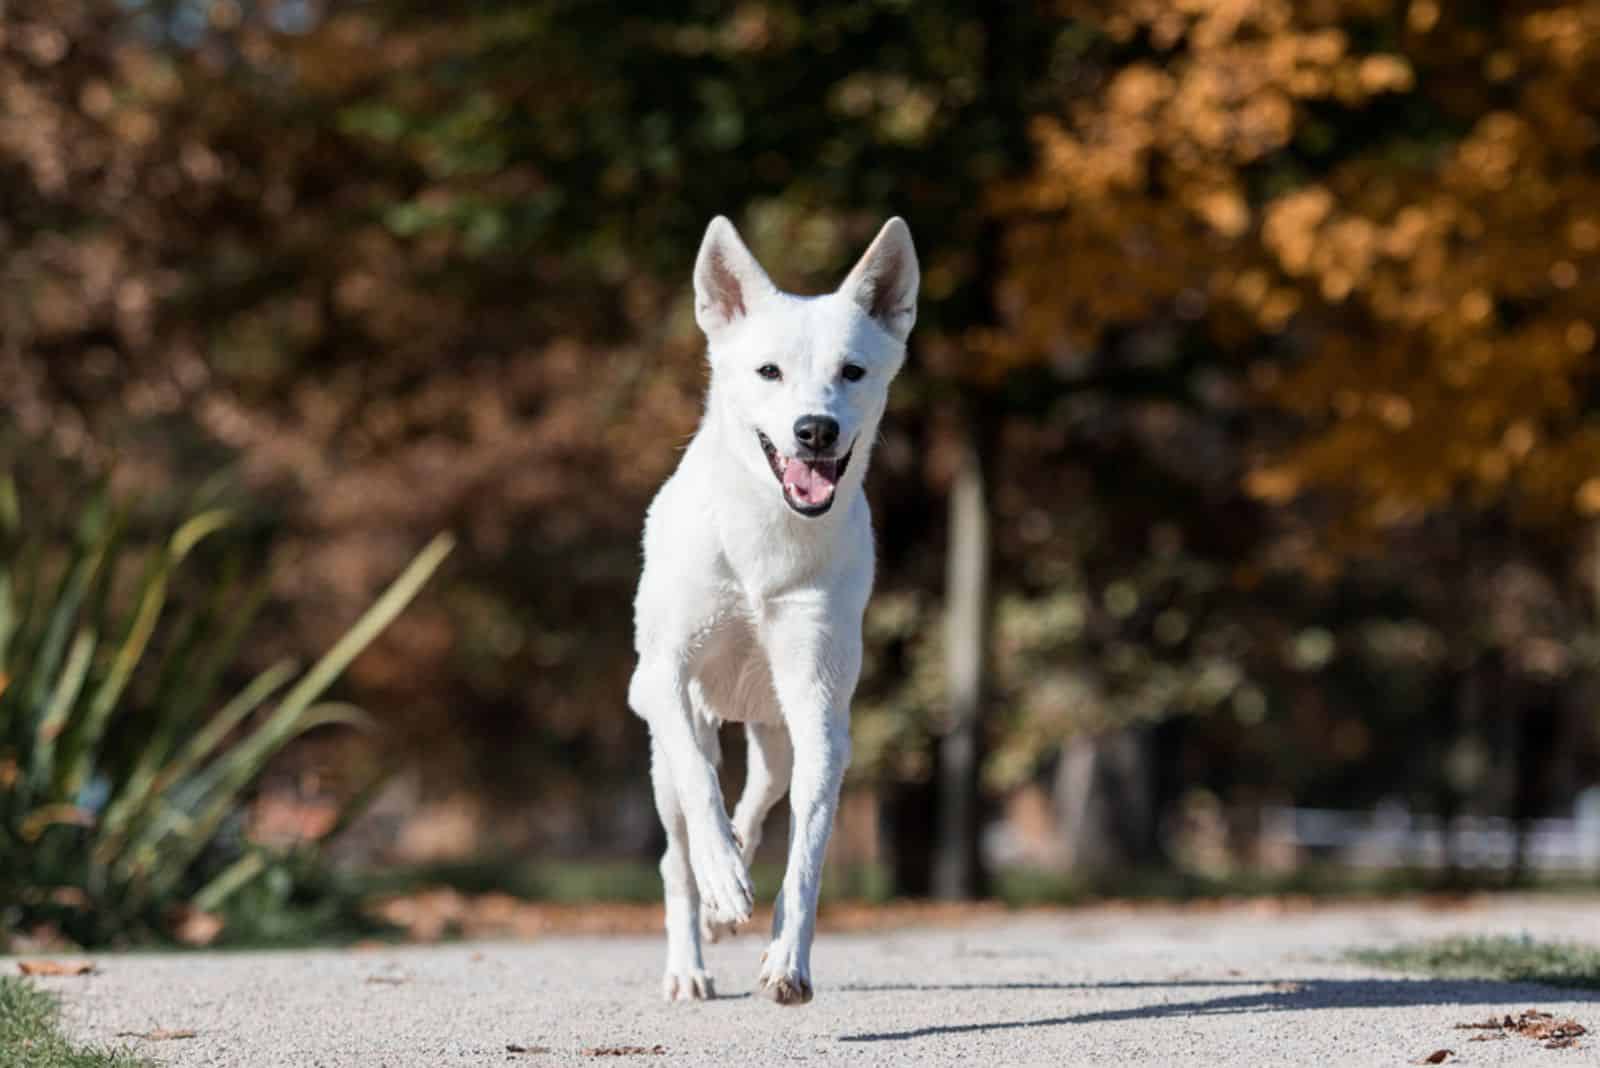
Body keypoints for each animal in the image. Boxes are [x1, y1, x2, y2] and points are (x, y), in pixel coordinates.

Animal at [630, 214, 921, 1004]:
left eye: (852, 371)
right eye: (768, 373)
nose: (815, 430)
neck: (766, 533)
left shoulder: (820, 710)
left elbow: (808, 850)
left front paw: (788, 958)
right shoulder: (666, 675)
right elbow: (700, 783)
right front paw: (725, 884)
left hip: (777, 734)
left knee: (758, 800)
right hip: (670, 749)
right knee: (678, 841)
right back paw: (691, 956)